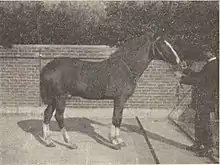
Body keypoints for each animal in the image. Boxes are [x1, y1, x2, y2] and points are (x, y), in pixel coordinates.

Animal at [39, 32, 182, 150]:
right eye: (162, 44)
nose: (179, 62)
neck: (126, 68)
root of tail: (47, 67)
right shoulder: (120, 98)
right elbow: (116, 118)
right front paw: (115, 142)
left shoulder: (120, 100)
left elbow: (118, 117)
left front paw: (118, 140)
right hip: (60, 98)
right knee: (59, 116)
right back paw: (69, 142)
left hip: (54, 99)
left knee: (47, 114)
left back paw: (48, 141)